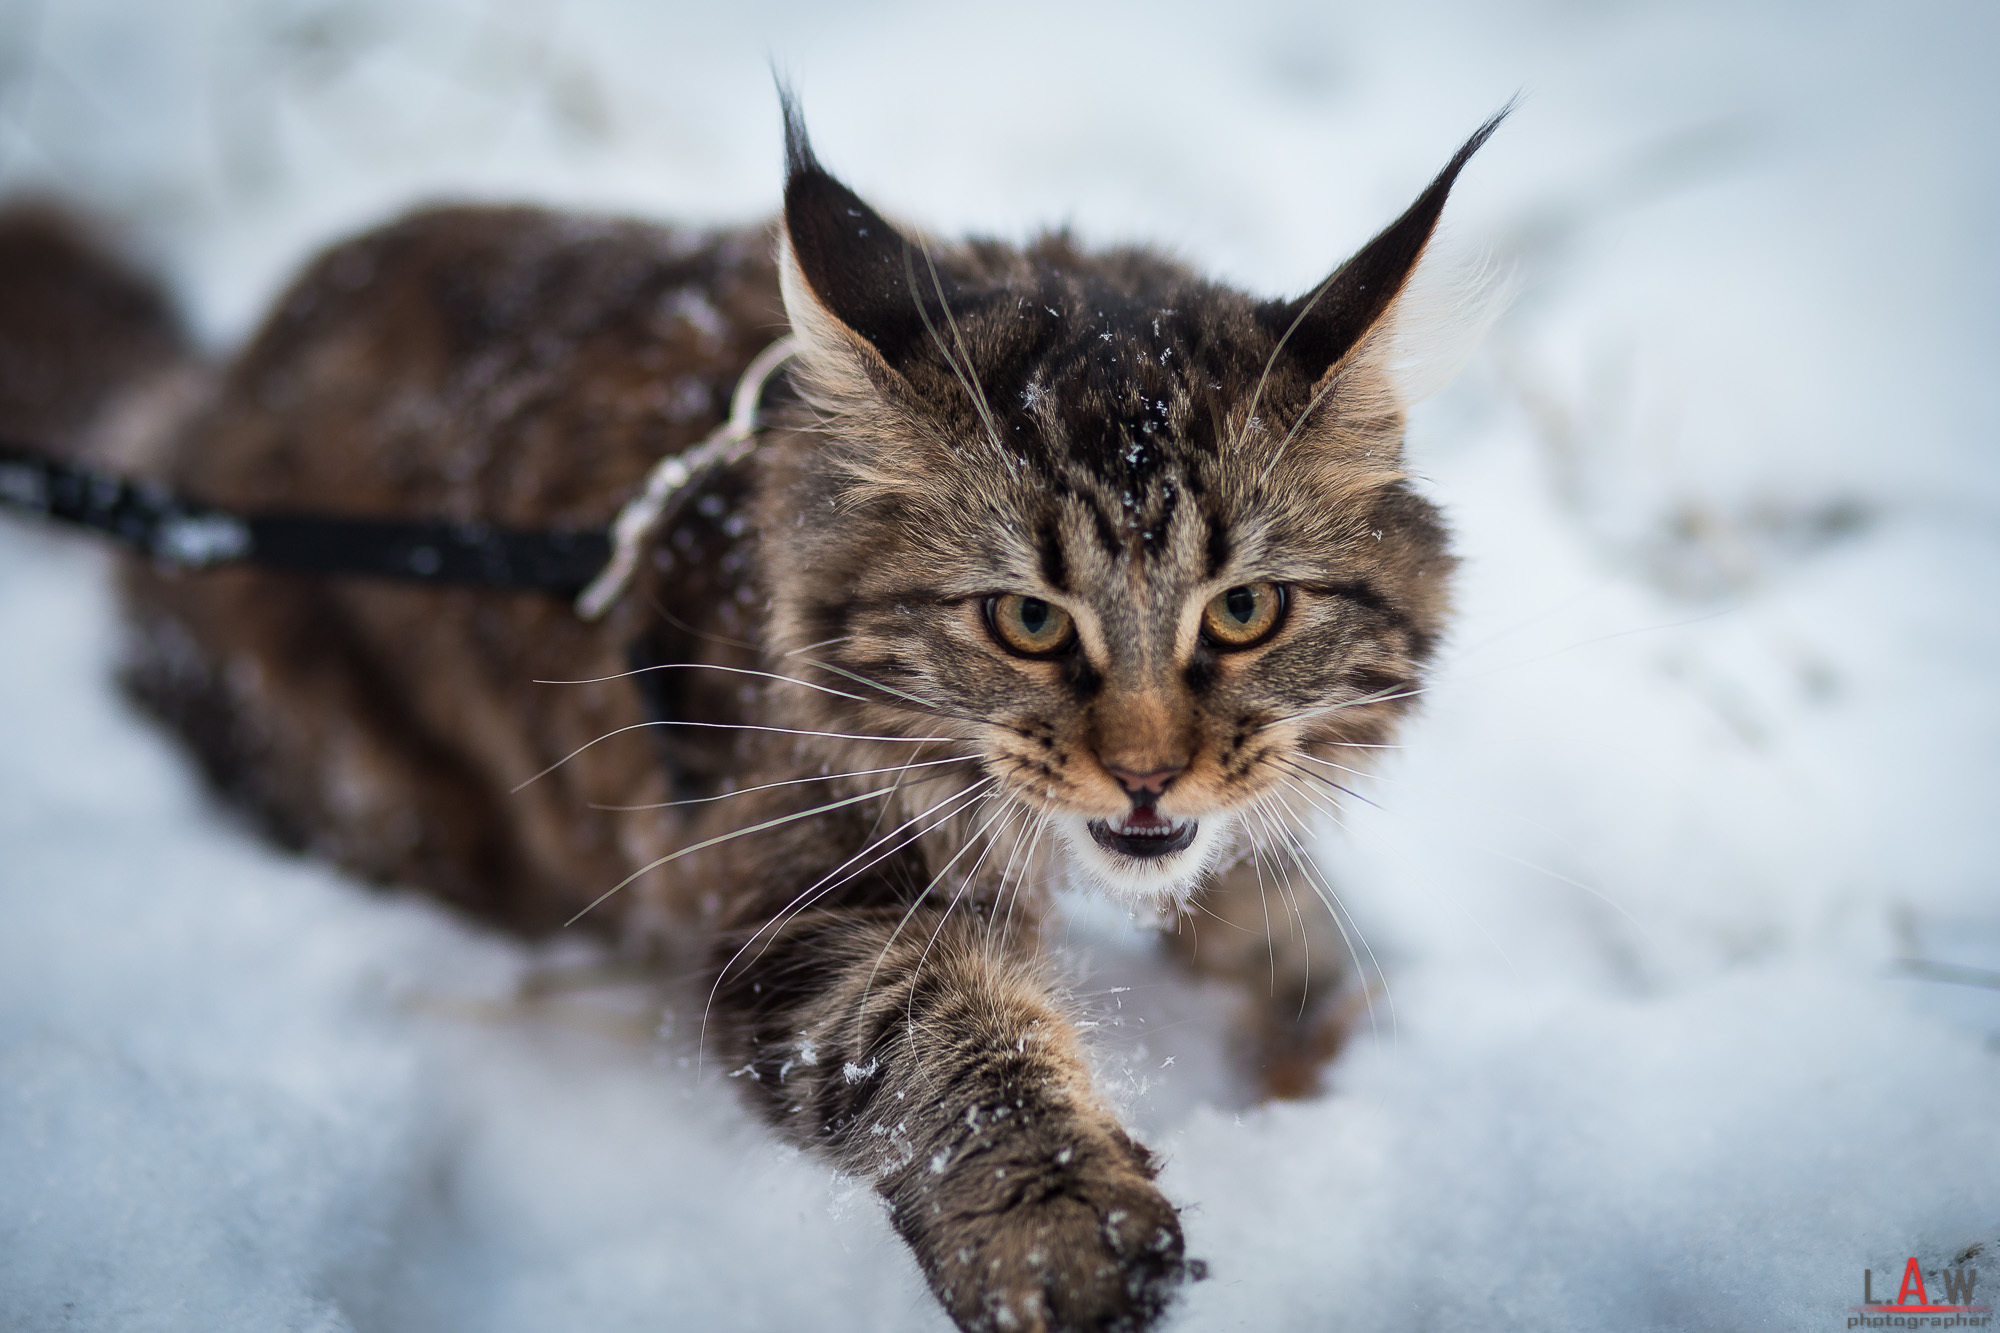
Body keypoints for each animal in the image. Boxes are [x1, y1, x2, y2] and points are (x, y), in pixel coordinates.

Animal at [0, 96, 1504, 1328]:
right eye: (1024, 623)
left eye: (1243, 612)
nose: (1145, 774)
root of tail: (197, 407)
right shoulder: (807, 906)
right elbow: (952, 1054)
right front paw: (1061, 1234)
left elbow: (1293, 938)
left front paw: (1336, 1069)